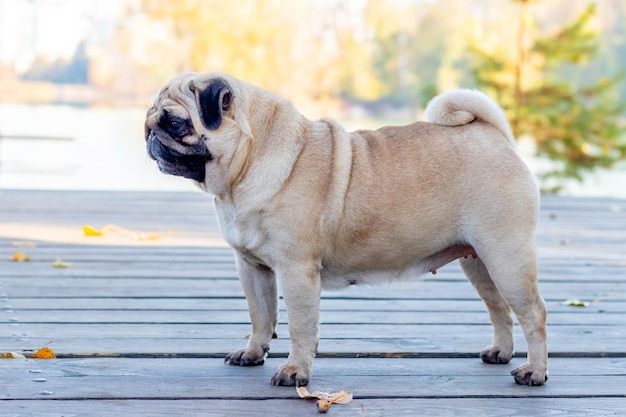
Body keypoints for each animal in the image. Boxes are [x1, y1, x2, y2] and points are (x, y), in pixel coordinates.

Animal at [146, 71, 544, 386]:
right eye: (151, 121)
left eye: (176, 123)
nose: (148, 135)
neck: (244, 171)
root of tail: (494, 134)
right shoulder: (252, 268)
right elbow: (260, 315)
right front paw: (253, 352)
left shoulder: (297, 272)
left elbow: (300, 326)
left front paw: (295, 371)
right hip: (479, 262)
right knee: (499, 308)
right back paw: (501, 353)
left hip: (505, 257)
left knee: (533, 314)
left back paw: (534, 372)